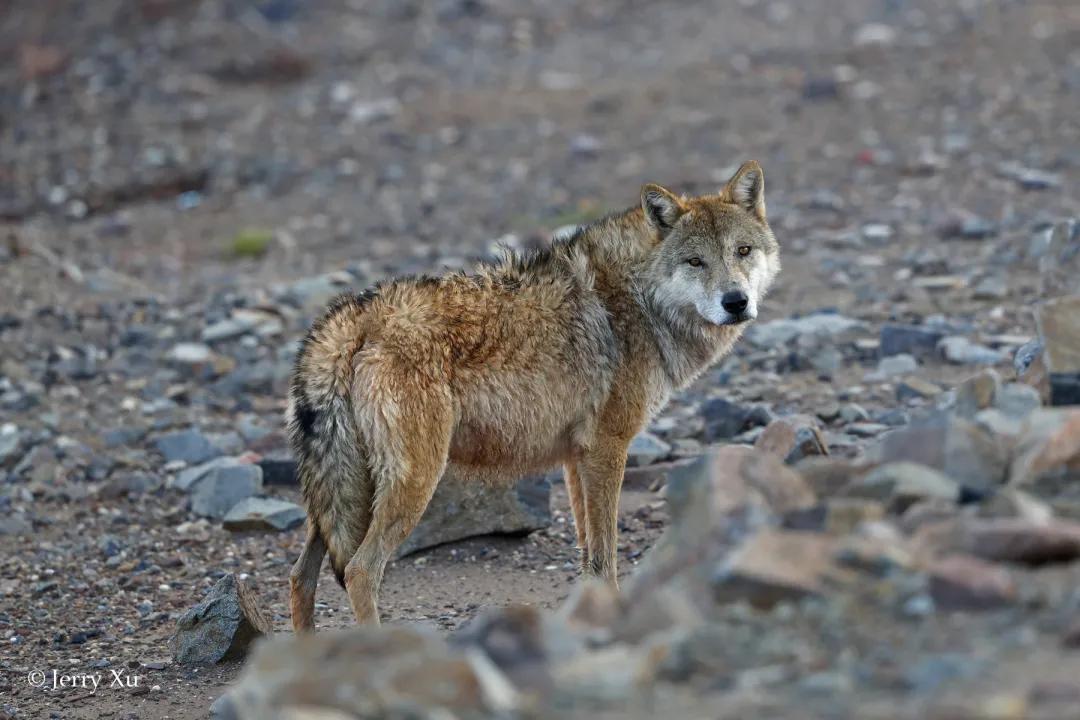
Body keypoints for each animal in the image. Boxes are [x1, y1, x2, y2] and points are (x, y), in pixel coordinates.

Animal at [285, 160, 777, 626]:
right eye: (695, 262)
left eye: (742, 251)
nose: (736, 302)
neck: (638, 299)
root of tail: (353, 318)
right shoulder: (608, 448)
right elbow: (606, 554)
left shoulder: (577, 457)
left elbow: (588, 555)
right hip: (412, 482)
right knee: (359, 570)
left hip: (341, 494)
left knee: (300, 576)